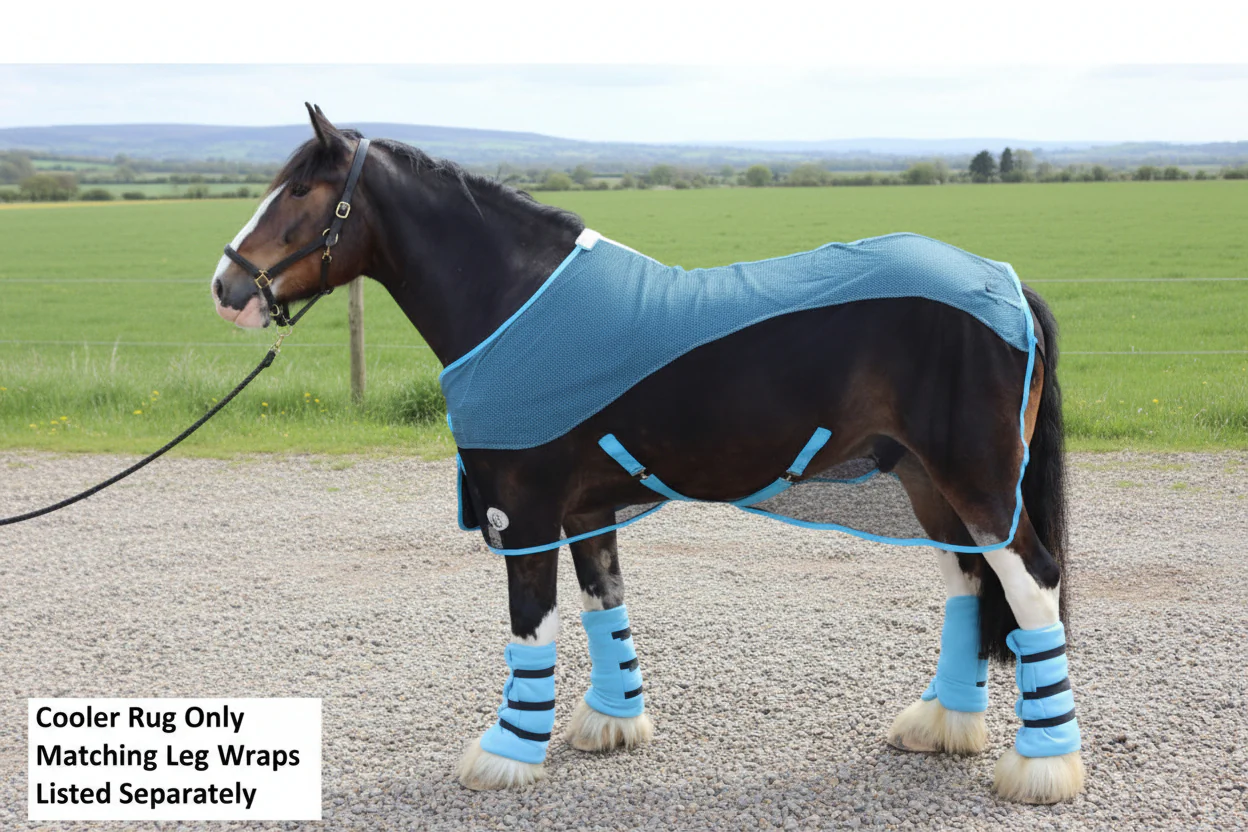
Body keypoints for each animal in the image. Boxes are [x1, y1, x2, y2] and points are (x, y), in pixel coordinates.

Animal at [210, 105, 1084, 804]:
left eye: (301, 192)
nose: (227, 287)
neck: (520, 305)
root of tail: (1006, 283)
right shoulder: (588, 509)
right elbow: (604, 605)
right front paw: (611, 723)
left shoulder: (521, 512)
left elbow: (531, 627)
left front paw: (506, 754)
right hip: (925, 482)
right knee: (967, 585)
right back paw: (941, 724)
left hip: (978, 482)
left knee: (1033, 585)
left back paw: (1040, 768)